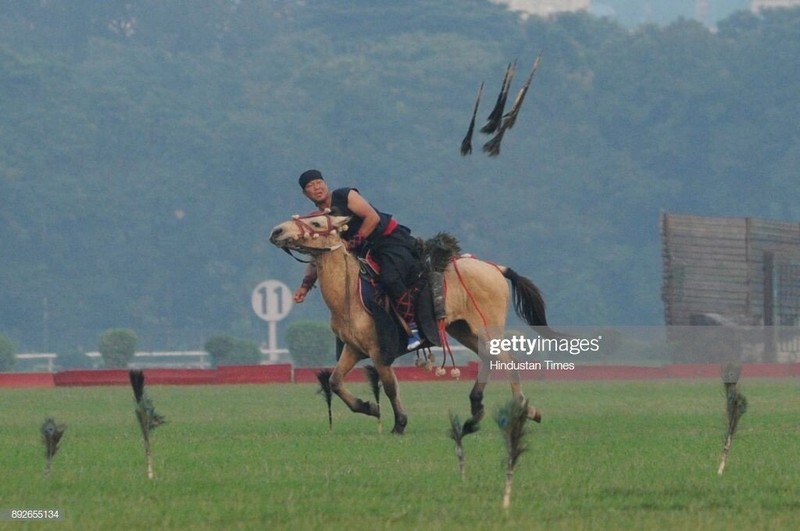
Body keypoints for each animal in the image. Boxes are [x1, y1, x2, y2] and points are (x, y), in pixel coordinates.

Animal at [268, 212, 556, 436]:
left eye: (316, 223)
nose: (277, 230)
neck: (349, 292)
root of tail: (495, 268)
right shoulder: (354, 349)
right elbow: (335, 381)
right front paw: (369, 407)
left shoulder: (379, 351)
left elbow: (390, 387)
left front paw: (399, 424)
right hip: (462, 329)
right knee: (489, 359)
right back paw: (476, 410)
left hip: (487, 327)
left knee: (507, 360)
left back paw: (524, 408)